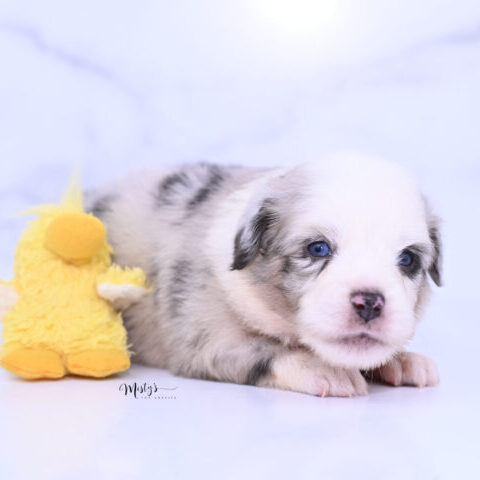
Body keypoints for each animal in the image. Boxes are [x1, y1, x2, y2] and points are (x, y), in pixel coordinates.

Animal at [88, 156, 440, 396]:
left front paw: (402, 360)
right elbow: (268, 350)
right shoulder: (207, 339)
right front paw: (321, 367)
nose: (369, 302)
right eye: (318, 249)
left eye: (407, 259)